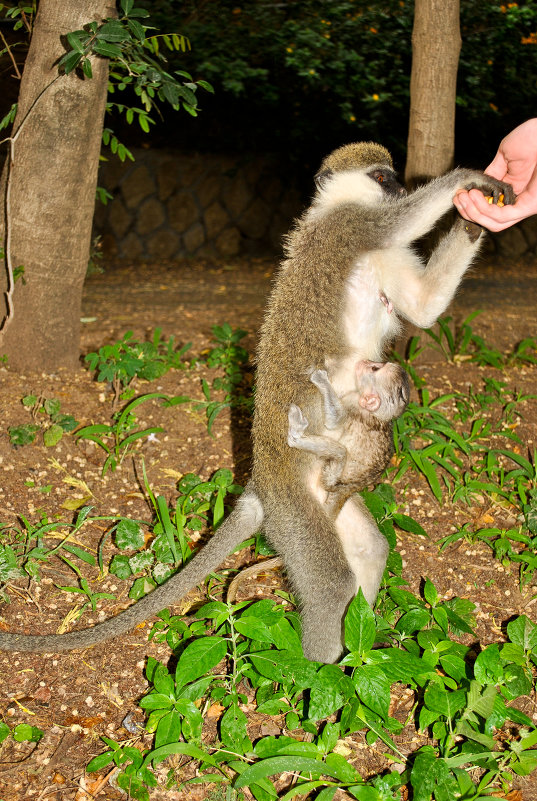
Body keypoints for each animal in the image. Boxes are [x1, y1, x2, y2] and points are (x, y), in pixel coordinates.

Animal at [288, 360, 406, 516]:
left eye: (374, 369)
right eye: (378, 365)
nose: (366, 362)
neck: (378, 416)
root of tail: (349, 489)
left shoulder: (353, 403)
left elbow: (335, 421)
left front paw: (322, 381)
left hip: (332, 478)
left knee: (341, 453)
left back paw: (296, 437)